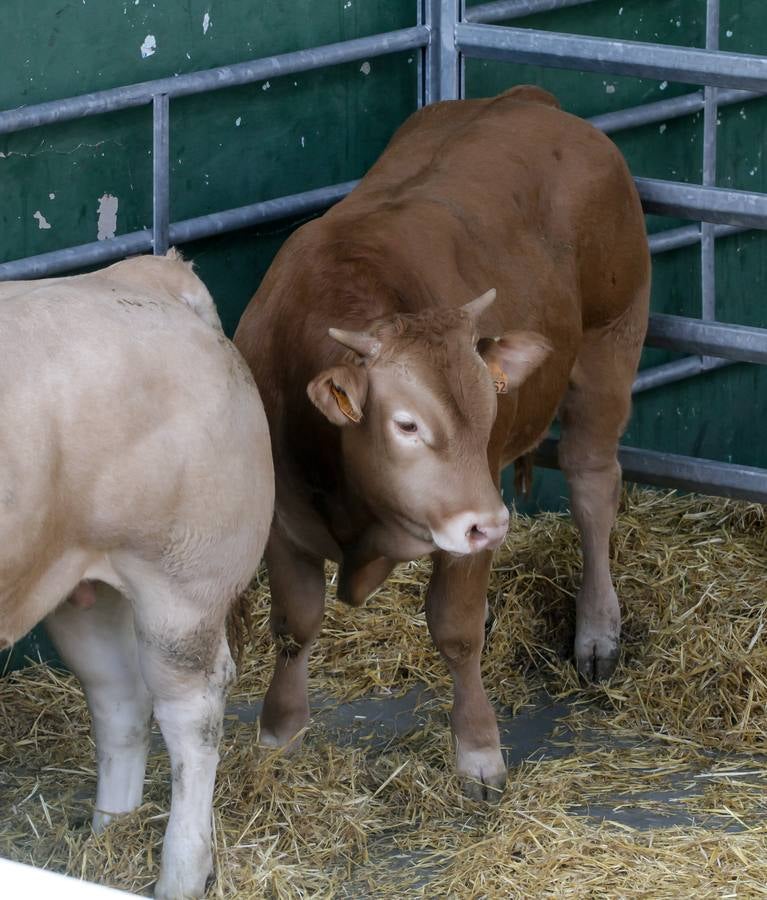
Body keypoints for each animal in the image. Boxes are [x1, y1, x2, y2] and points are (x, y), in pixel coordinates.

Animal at [0, 251, 276, 900]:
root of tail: (142, 274)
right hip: (81, 581)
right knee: (118, 695)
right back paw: (108, 836)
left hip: (181, 584)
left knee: (190, 711)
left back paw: (180, 872)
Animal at [234, 88, 648, 800]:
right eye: (406, 424)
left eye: (489, 410)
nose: (493, 524)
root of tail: (529, 99)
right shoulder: (284, 523)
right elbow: (295, 624)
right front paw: (279, 734)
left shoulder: (468, 526)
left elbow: (455, 631)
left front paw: (478, 751)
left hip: (611, 337)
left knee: (594, 484)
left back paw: (598, 631)